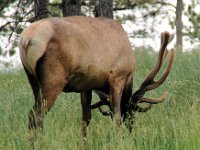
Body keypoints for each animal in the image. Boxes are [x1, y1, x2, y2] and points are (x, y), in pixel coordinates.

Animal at [19, 16, 175, 138]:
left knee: (35, 116)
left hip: (33, 79)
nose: (131, 130)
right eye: (132, 110)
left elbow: (85, 119)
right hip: (53, 80)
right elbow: (117, 117)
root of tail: (27, 39)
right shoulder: (117, 77)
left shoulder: (86, 86)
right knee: (35, 115)